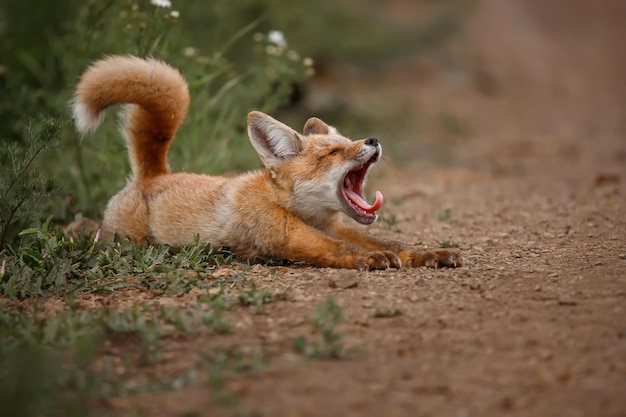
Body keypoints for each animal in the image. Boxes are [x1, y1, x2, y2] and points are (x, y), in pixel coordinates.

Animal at [74, 55, 464, 270]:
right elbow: (340, 250)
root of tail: (154, 175)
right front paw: (370, 260)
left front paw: (430, 253)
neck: (297, 210)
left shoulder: (336, 226)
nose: (372, 139)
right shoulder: (288, 234)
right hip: (127, 238)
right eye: (332, 153)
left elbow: (394, 243)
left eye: (345, 142)